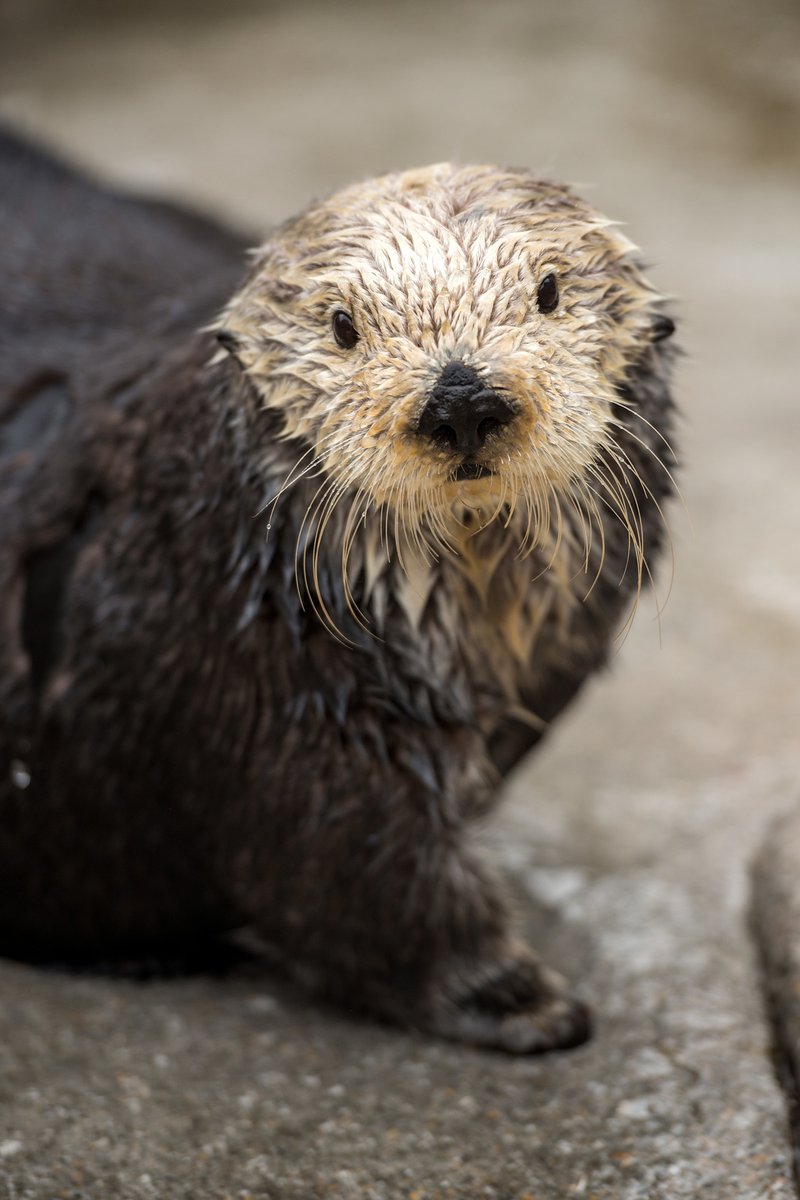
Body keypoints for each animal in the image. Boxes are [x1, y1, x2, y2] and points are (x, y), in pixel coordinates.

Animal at [0, 131, 677, 1053]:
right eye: (343, 325)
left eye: (548, 291)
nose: (462, 399)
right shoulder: (272, 687)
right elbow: (357, 865)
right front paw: (519, 1000)